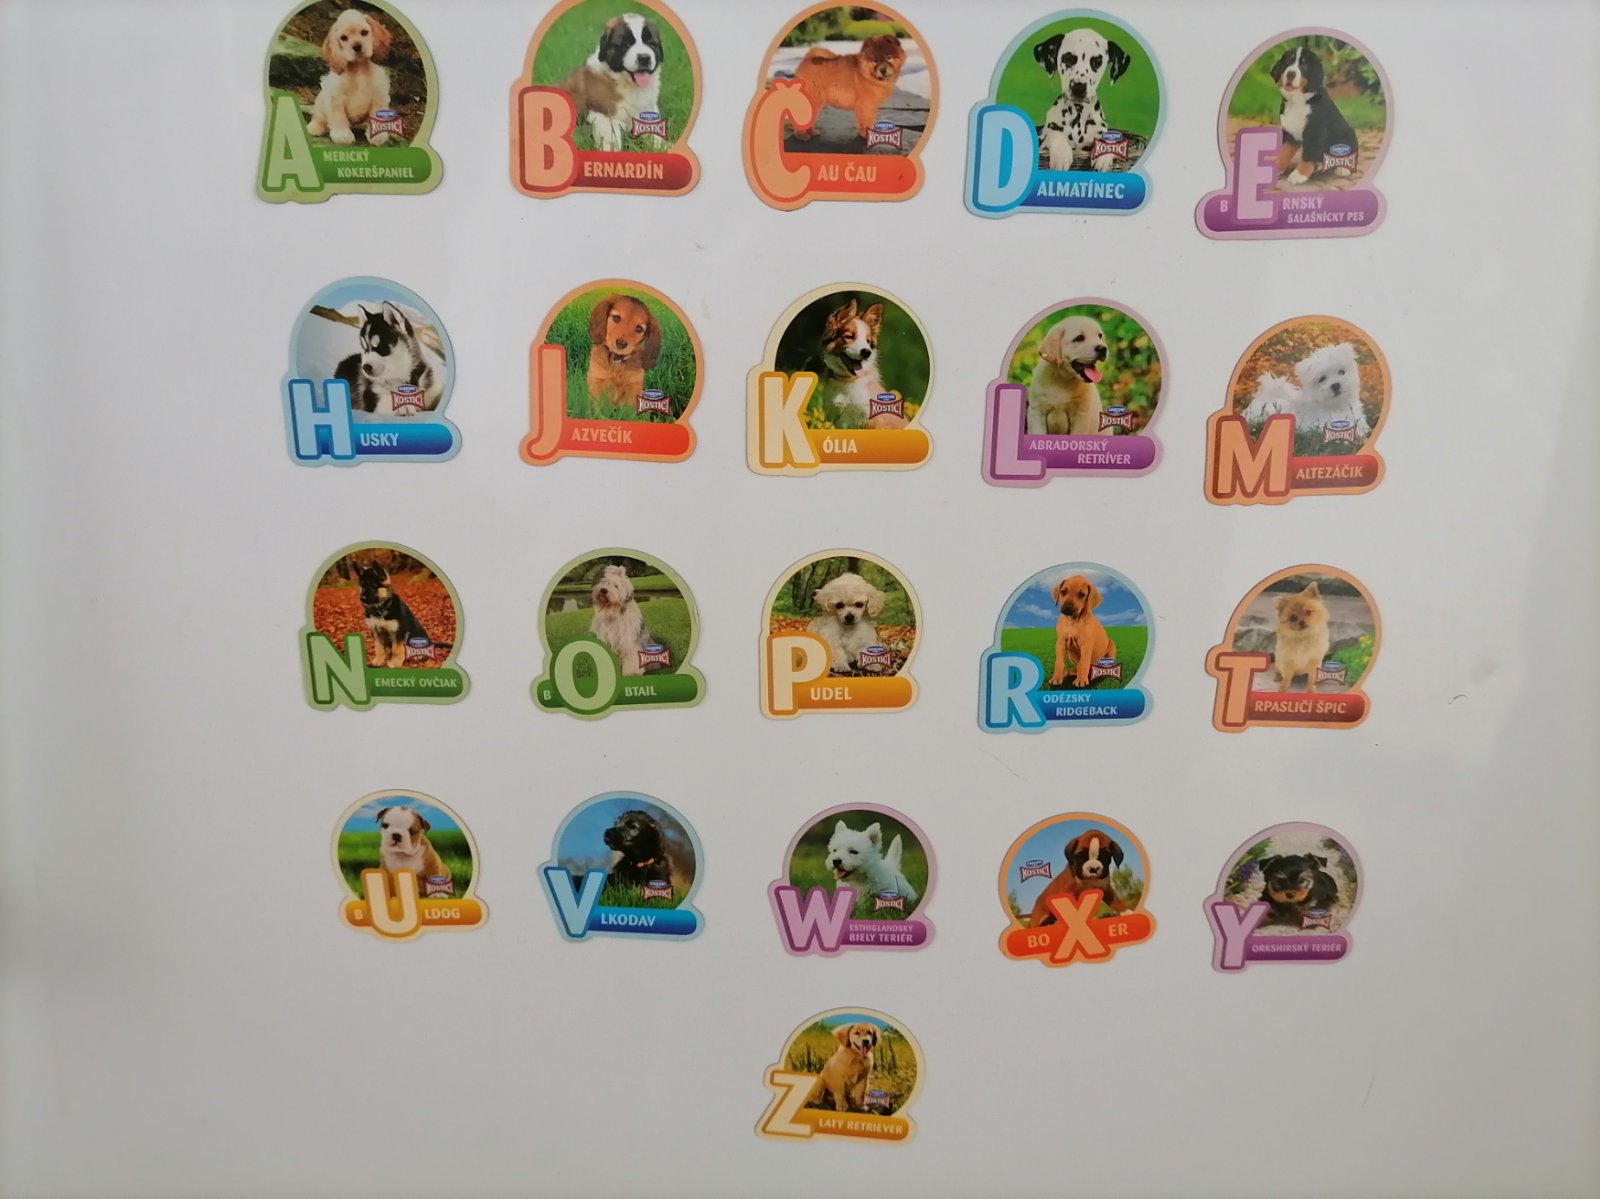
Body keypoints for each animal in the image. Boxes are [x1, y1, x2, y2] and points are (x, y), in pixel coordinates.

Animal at [305, 8, 394, 146]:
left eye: (364, 32)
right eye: (344, 38)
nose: (357, 46)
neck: (358, 68)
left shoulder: (379, 94)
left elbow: (376, 113)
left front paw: (378, 136)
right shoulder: (335, 97)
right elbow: (339, 117)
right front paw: (342, 135)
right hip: (321, 99)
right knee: (319, 116)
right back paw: (315, 127)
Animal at [560, 14, 667, 151]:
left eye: (651, 43)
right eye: (626, 45)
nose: (644, 58)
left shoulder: (649, 107)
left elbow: (654, 132)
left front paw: (662, 147)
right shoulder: (603, 117)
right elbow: (612, 140)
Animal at [811, 299, 906, 430]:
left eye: (868, 341)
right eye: (849, 336)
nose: (867, 352)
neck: (847, 381)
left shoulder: (873, 420)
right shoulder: (834, 416)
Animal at [1035, 28, 1132, 171]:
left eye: (1097, 61)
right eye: (1068, 58)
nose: (1078, 87)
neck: (1078, 113)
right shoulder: (1047, 135)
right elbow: (1056, 136)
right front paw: (1061, 156)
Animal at [1270, 44, 1359, 186]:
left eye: (1304, 65)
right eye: (1288, 62)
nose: (1290, 74)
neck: (1298, 101)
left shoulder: (1315, 132)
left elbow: (1309, 154)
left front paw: (1299, 174)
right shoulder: (1289, 133)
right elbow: (1284, 151)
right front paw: (1276, 167)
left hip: (1348, 133)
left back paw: (1342, 168)